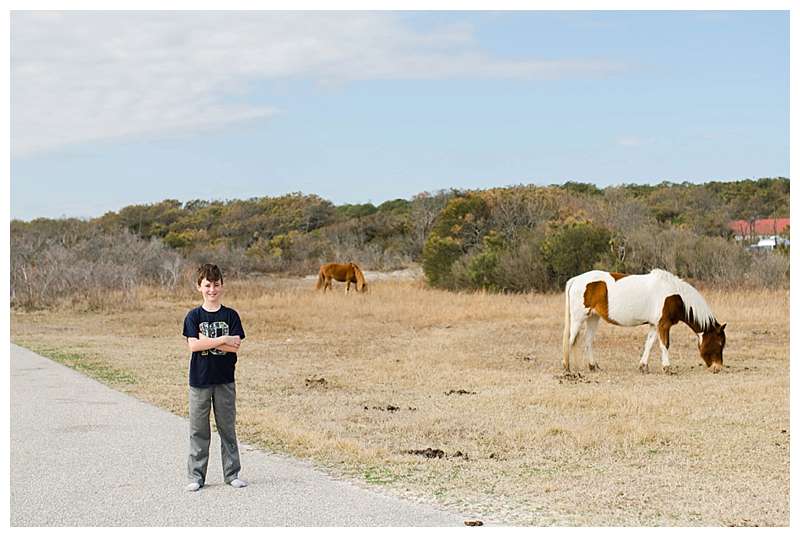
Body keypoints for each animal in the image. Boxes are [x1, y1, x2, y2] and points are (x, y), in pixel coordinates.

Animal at [564, 268, 724, 372]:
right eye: (720, 343)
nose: (718, 367)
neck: (676, 295)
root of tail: (576, 280)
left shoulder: (654, 325)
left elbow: (649, 344)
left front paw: (643, 366)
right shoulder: (664, 325)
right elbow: (665, 345)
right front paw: (667, 367)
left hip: (593, 318)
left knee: (587, 341)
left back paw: (592, 366)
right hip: (579, 318)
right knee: (570, 341)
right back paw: (567, 368)